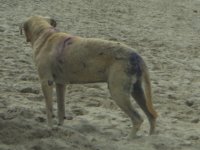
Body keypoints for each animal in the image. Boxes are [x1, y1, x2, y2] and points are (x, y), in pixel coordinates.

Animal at [20, 15, 158, 138]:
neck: (45, 33)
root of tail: (137, 56)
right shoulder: (61, 84)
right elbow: (60, 108)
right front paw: (60, 127)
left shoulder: (46, 82)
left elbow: (49, 109)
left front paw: (49, 128)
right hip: (137, 91)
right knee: (152, 116)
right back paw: (150, 138)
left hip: (118, 92)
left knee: (137, 118)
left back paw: (129, 139)